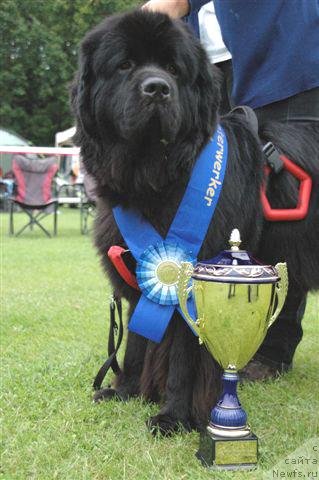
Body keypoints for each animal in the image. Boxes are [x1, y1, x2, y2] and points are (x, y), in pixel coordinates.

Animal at [73, 8, 319, 436]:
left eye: (173, 68)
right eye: (125, 65)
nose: (157, 89)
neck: (156, 174)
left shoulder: (194, 277)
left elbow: (183, 358)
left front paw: (173, 415)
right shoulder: (142, 272)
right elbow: (137, 340)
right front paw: (126, 391)